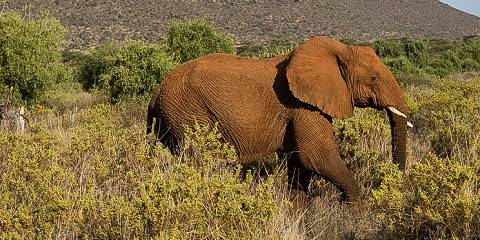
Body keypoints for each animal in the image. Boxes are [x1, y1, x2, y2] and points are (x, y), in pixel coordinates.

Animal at [146, 36, 412, 203]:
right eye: (374, 78)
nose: (392, 182)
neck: (340, 49)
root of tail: (156, 93)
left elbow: (300, 165)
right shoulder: (301, 105)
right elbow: (317, 158)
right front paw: (354, 214)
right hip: (188, 113)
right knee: (206, 161)